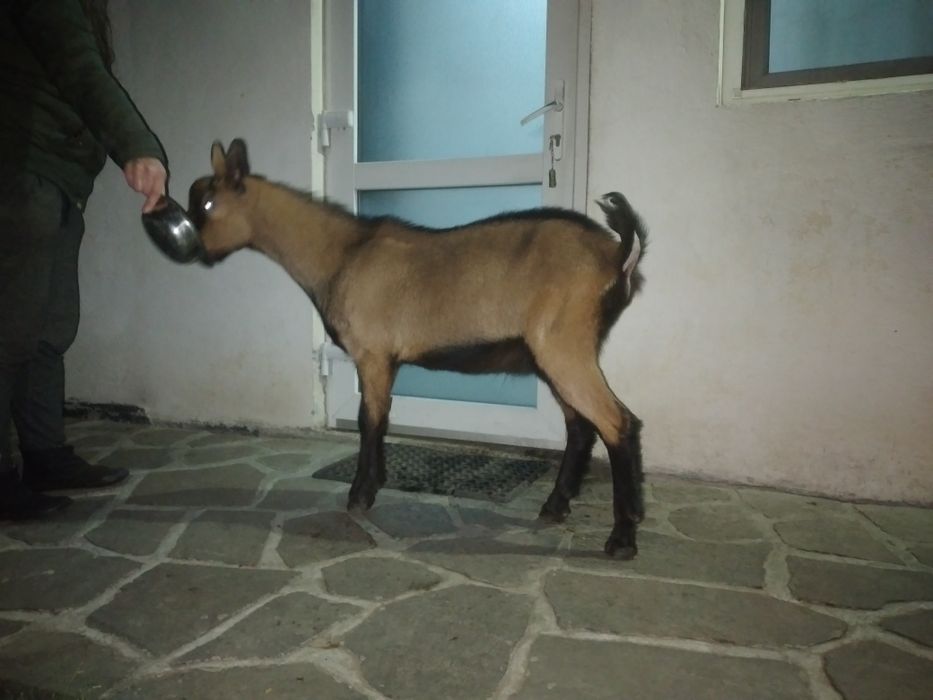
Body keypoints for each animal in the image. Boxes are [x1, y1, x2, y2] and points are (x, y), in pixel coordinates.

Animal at [187, 139, 648, 557]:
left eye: (207, 204)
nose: (188, 249)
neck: (343, 254)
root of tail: (617, 254)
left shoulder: (371, 353)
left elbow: (369, 420)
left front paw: (360, 495)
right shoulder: (385, 359)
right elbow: (379, 418)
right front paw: (371, 486)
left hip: (562, 346)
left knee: (618, 423)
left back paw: (622, 538)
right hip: (552, 355)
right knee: (580, 425)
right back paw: (555, 506)